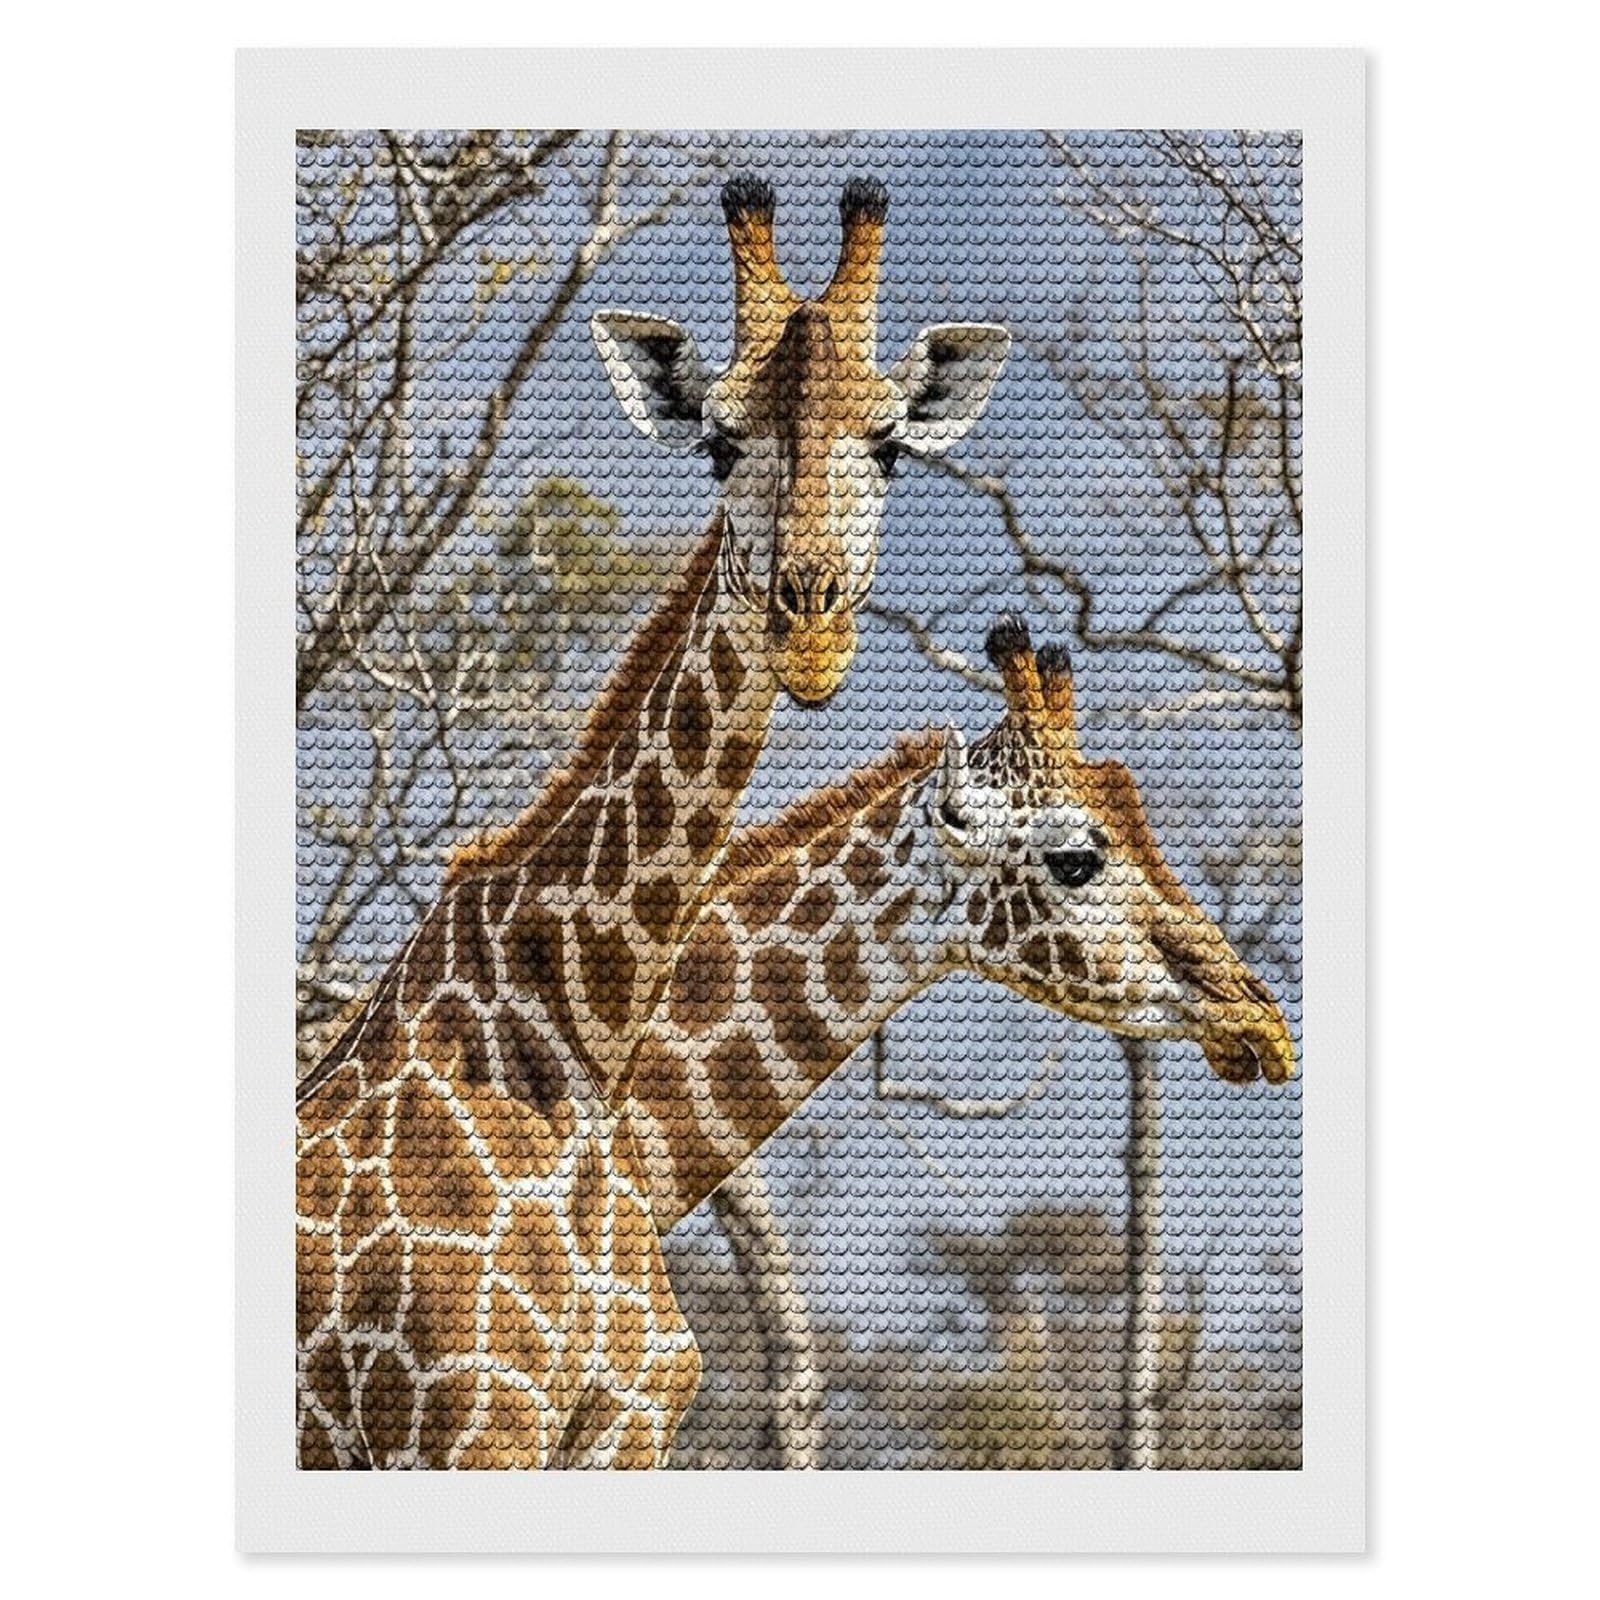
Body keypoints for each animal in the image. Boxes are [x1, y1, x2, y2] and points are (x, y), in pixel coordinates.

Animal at [295, 177, 1011, 1470]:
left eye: (888, 447)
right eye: (720, 443)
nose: (809, 633)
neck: (577, 1023)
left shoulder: (615, 1431)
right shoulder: (458, 1424)